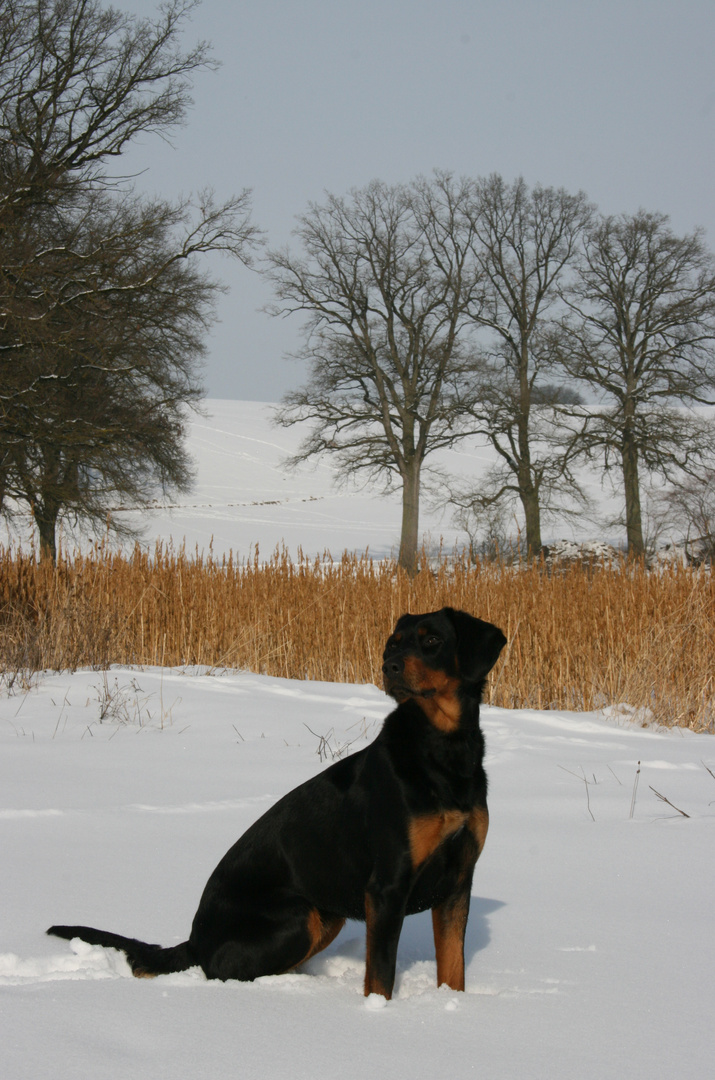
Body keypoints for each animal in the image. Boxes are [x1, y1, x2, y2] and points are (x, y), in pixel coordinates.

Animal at [49, 604, 503, 997]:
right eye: (393, 644)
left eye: (431, 641)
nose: (389, 667)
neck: (443, 750)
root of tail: (195, 940)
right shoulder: (388, 885)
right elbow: (381, 977)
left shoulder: (458, 881)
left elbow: (453, 969)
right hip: (300, 917)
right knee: (226, 971)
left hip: (326, 916)